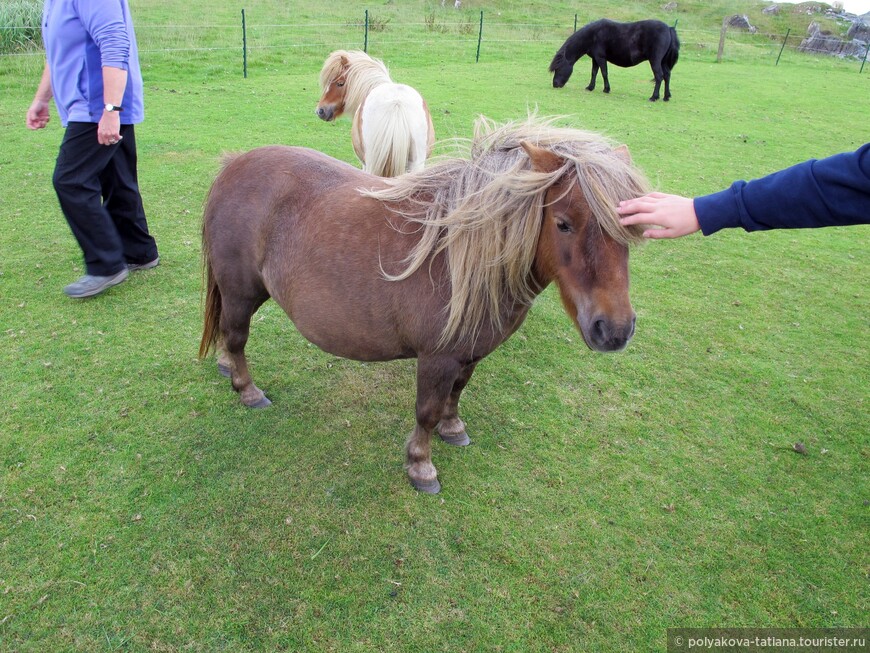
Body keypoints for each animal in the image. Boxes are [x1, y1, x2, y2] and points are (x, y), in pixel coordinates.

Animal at [201, 118, 652, 494]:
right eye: (563, 223)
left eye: (631, 228)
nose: (614, 330)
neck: (461, 257)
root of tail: (233, 165)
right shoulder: (437, 357)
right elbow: (427, 411)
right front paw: (421, 465)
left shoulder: (469, 353)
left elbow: (456, 394)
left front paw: (454, 429)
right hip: (241, 291)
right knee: (237, 336)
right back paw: (247, 390)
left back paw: (225, 366)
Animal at [552, 18, 680, 100]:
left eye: (558, 68)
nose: (555, 84)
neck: (592, 35)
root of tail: (669, 28)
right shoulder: (595, 59)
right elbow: (594, 73)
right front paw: (590, 87)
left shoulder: (600, 58)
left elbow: (604, 73)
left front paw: (606, 89)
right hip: (663, 62)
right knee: (667, 75)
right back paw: (666, 96)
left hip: (655, 60)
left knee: (659, 76)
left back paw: (654, 97)